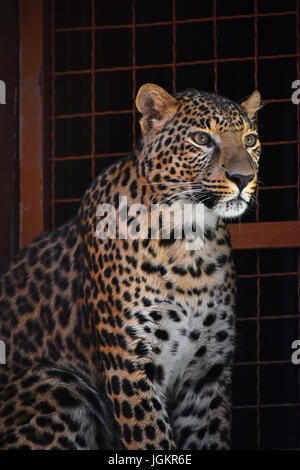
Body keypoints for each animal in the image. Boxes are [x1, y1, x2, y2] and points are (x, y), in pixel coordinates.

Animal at [0, 82, 260, 450]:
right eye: (202, 138)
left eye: (250, 140)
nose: (244, 177)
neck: (190, 242)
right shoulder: (131, 366)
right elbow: (153, 441)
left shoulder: (207, 374)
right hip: (61, 386)